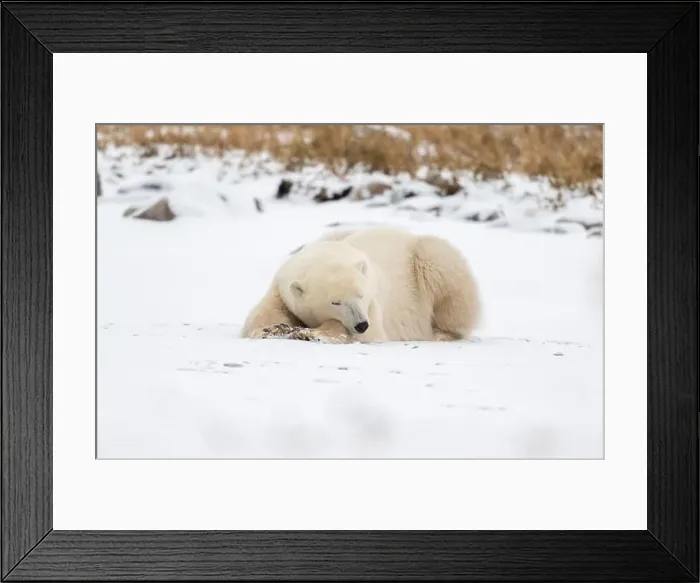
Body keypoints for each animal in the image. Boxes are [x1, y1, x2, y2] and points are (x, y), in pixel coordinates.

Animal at [241, 226, 481, 344]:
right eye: (335, 302)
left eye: (361, 295)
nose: (360, 324)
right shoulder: (281, 288)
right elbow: (262, 315)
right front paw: (273, 329)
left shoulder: (374, 306)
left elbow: (372, 334)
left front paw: (311, 333)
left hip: (428, 260)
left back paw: (442, 333)